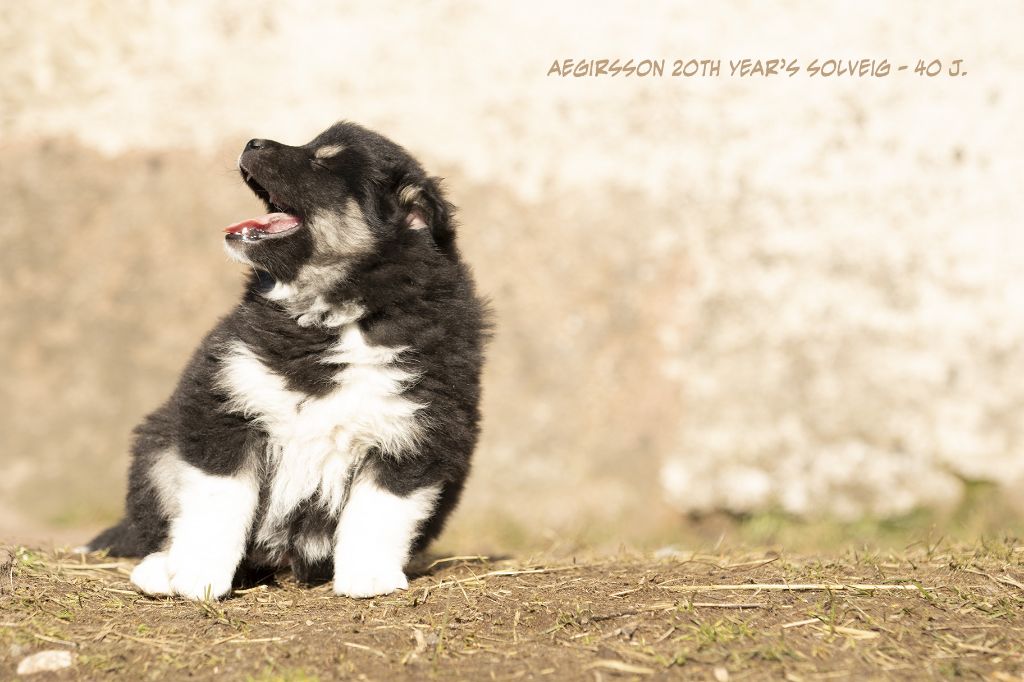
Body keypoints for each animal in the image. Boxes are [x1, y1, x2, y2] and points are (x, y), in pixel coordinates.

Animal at [86, 121, 489, 599]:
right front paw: (197, 576)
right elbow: (217, 503)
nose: (252, 141)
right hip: (159, 443)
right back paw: (160, 568)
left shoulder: (415, 431)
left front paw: (368, 578)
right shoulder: (226, 408)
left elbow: (380, 510)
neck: (332, 313)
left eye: (324, 162)